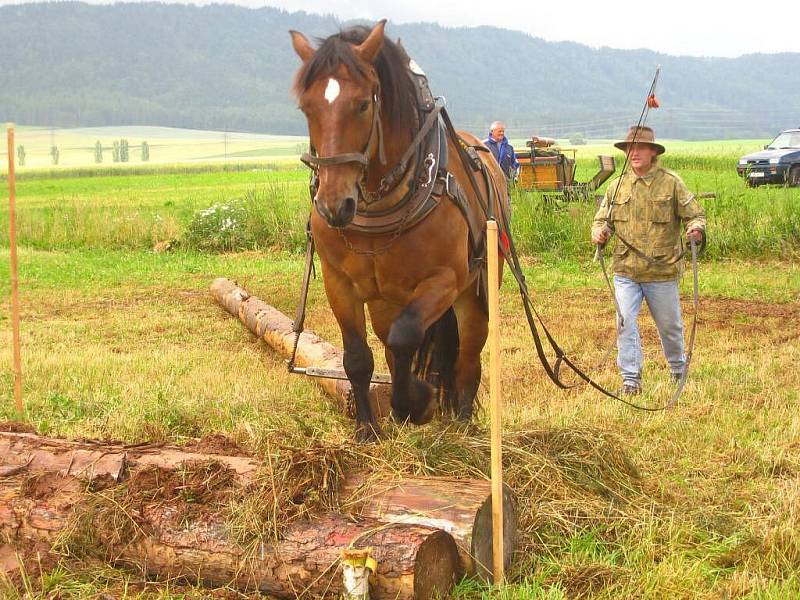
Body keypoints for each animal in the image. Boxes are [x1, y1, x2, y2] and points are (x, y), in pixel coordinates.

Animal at [290, 21, 510, 440]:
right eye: (306, 107)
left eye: (363, 104)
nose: (333, 205)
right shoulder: (338, 281)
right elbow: (358, 357)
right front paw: (368, 427)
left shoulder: (444, 279)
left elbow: (407, 335)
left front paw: (418, 403)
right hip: (383, 302)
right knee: (393, 350)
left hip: (473, 293)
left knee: (466, 357)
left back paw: (460, 419)